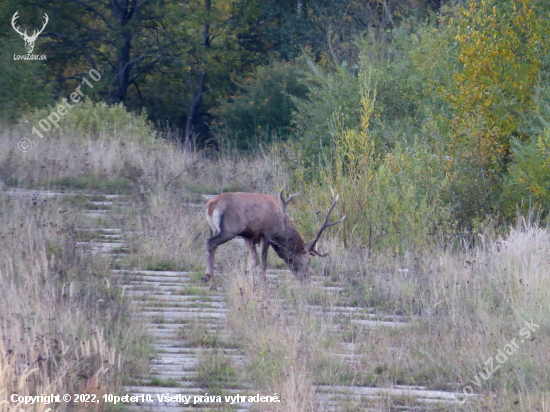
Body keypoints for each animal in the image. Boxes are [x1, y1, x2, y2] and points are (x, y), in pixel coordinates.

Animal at [205, 187, 348, 288]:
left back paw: (212, 281)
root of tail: (211, 205)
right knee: (210, 243)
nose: (307, 280)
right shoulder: (267, 234)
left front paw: (252, 283)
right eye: (308, 260)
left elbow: (253, 261)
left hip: (213, 229)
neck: (281, 226)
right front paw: (264, 284)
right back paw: (210, 280)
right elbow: (263, 262)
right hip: (229, 230)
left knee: (211, 247)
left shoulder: (249, 236)